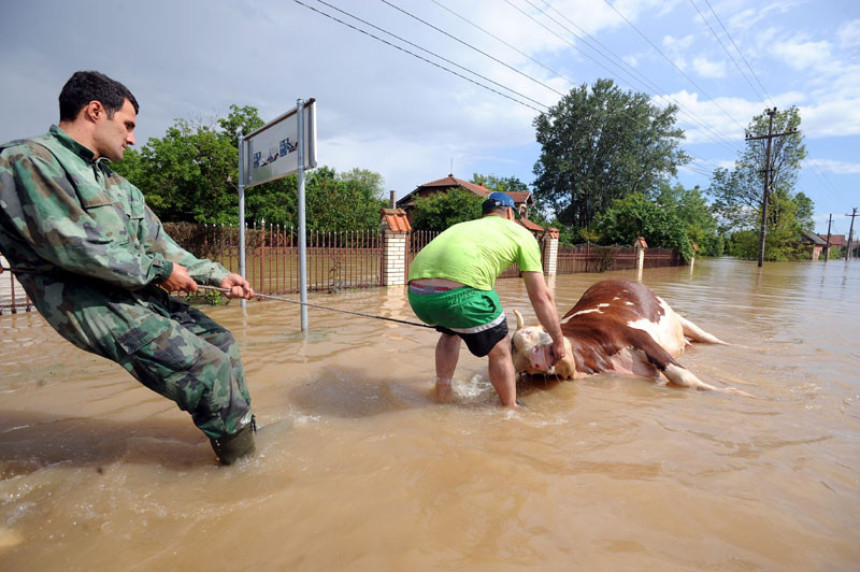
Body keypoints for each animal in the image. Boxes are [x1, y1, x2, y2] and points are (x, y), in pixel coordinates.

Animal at [512, 280, 748, 396]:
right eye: (526, 369)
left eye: (529, 333)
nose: (535, 359)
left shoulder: (640, 338)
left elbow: (683, 376)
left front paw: (736, 392)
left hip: (678, 318)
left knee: (711, 338)